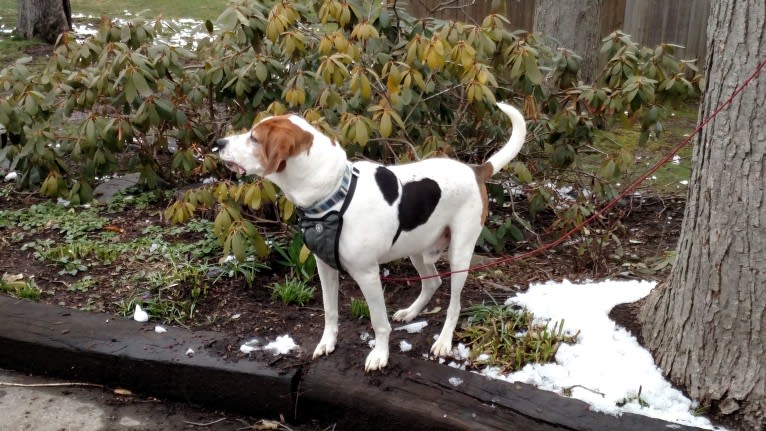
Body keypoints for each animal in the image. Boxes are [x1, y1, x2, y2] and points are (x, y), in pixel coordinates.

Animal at [216, 103, 528, 372]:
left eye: (254, 138)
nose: (218, 144)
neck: (333, 193)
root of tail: (475, 170)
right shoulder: (324, 266)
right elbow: (330, 311)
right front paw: (327, 343)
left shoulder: (367, 274)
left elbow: (379, 322)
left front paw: (380, 355)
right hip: (416, 248)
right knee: (433, 282)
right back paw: (411, 312)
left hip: (460, 255)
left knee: (454, 304)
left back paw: (443, 341)